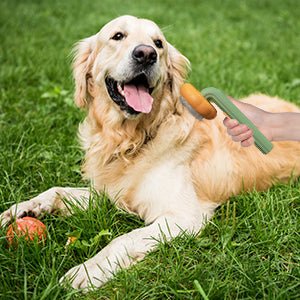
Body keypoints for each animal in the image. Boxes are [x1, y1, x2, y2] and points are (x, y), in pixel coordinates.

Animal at [1, 15, 300, 290]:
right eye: (118, 36)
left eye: (159, 43)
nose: (146, 54)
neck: (131, 140)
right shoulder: (106, 193)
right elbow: (57, 190)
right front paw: (22, 209)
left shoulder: (183, 216)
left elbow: (123, 239)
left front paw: (87, 271)